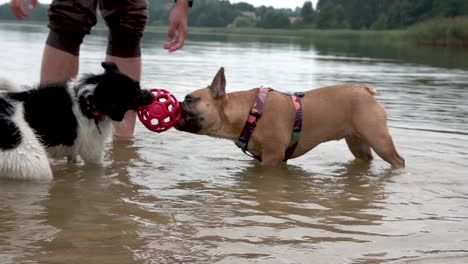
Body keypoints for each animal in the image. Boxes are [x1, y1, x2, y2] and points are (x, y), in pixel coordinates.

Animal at [0, 62, 154, 180]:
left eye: (138, 86)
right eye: (135, 92)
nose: (152, 95)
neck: (89, 102)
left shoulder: (73, 150)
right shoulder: (93, 153)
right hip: (32, 162)